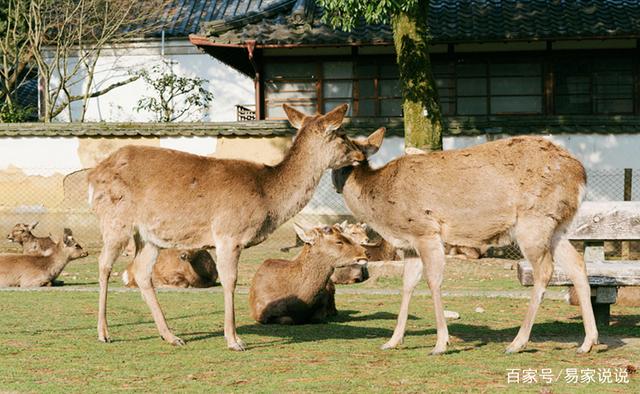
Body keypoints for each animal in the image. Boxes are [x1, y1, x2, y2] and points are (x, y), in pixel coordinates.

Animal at [87, 103, 364, 350]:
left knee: (142, 272)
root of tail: (92, 176)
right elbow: (230, 280)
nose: (361, 154)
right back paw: (103, 333)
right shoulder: (229, 234)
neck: (267, 194)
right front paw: (234, 340)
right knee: (104, 264)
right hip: (115, 221)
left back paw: (171, 336)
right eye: (341, 134)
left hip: (149, 235)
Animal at [332, 129, 596, 354]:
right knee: (576, 264)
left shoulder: (426, 231)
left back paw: (517, 343)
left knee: (545, 270)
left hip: (534, 222)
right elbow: (407, 284)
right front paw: (393, 341)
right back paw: (588, 342)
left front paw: (441, 344)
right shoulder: (410, 244)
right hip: (557, 227)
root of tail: (581, 176)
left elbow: (433, 281)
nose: (334, 182)